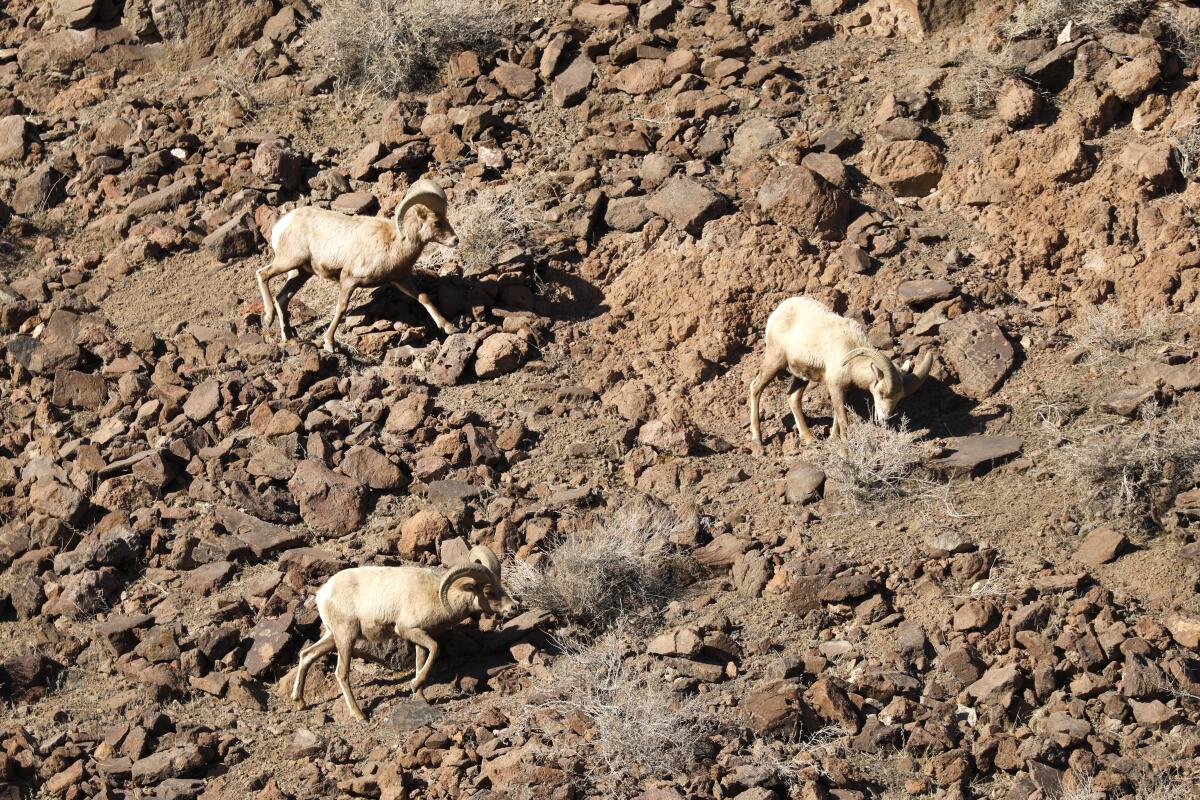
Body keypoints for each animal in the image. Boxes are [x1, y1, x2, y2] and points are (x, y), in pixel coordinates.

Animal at [258, 181, 458, 357]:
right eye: (436, 222)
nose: (455, 240)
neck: (394, 243)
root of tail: (281, 225)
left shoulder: (401, 279)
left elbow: (423, 297)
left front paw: (449, 327)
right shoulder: (349, 280)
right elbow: (341, 308)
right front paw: (329, 343)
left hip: (301, 272)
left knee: (282, 297)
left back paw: (288, 338)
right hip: (289, 261)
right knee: (262, 274)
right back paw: (268, 318)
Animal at [292, 544, 518, 719]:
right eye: (489, 591)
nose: (513, 607)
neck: (436, 596)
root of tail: (322, 594)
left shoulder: (418, 637)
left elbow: (421, 660)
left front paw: (420, 696)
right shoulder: (408, 630)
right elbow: (435, 649)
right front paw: (414, 684)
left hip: (332, 637)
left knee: (306, 655)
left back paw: (299, 701)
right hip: (346, 638)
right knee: (341, 674)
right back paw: (359, 715)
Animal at [748, 296, 936, 443]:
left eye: (898, 399)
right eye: (881, 393)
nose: (885, 418)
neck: (849, 350)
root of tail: (777, 312)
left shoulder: (841, 390)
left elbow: (837, 418)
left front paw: (832, 439)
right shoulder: (835, 387)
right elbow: (843, 419)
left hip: (801, 376)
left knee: (793, 398)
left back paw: (809, 439)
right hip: (775, 361)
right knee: (756, 387)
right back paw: (757, 438)